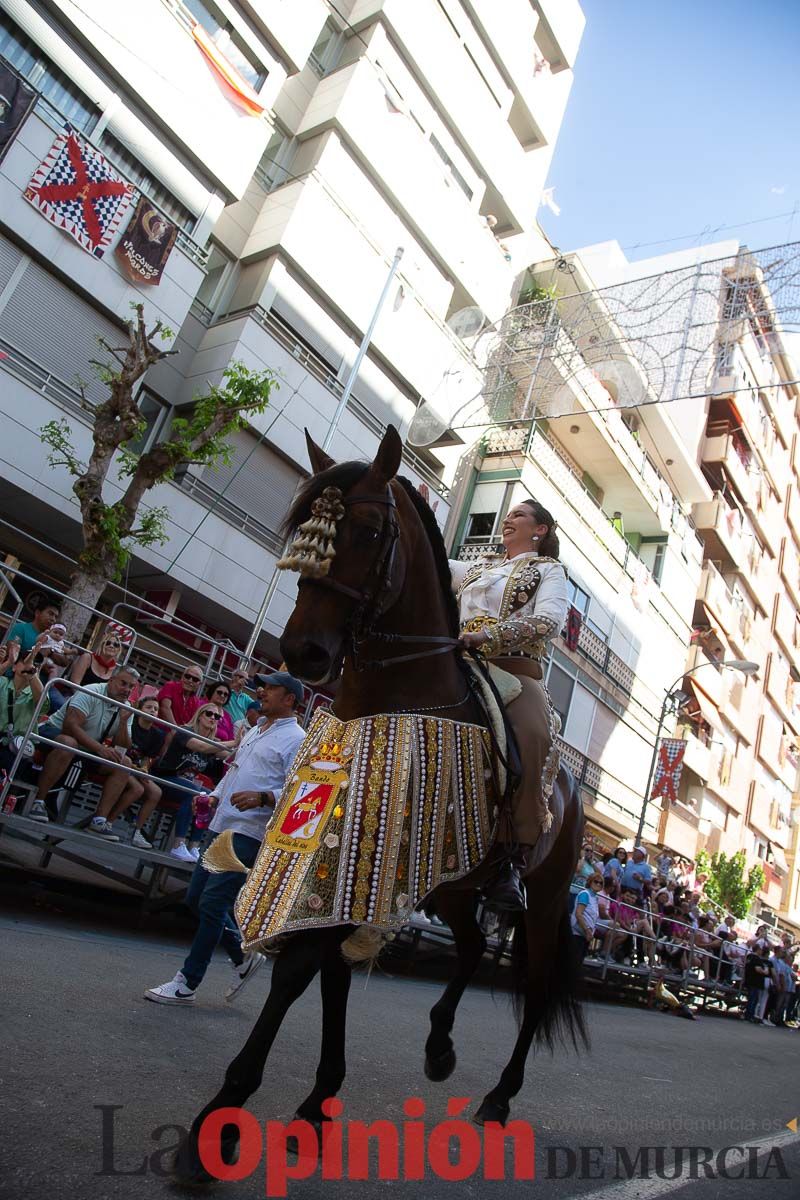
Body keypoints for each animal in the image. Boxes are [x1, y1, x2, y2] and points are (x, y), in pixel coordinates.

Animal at [176, 427, 587, 1185]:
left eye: (369, 531)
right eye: (307, 531)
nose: (304, 653)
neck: (393, 695)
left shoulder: (356, 858)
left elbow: (299, 973)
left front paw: (217, 1125)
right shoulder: (352, 865)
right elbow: (331, 971)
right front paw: (315, 1104)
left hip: (542, 898)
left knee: (538, 984)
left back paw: (498, 1098)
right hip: (455, 886)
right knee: (470, 947)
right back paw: (439, 1047)